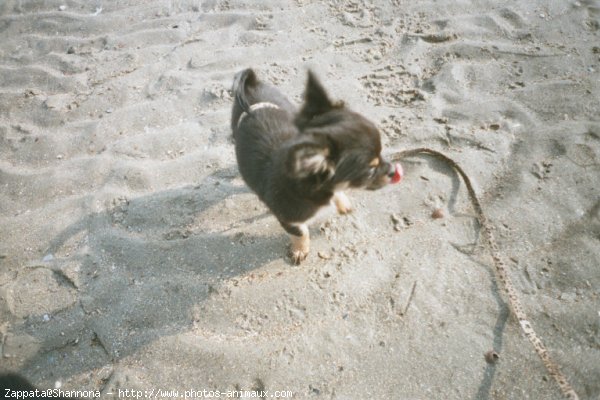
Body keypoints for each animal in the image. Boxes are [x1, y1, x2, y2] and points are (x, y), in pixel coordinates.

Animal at [232, 67, 400, 264]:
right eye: (370, 170)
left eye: (381, 154)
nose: (393, 170)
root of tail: (252, 84)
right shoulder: (288, 218)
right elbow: (301, 232)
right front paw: (300, 250)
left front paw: (342, 202)